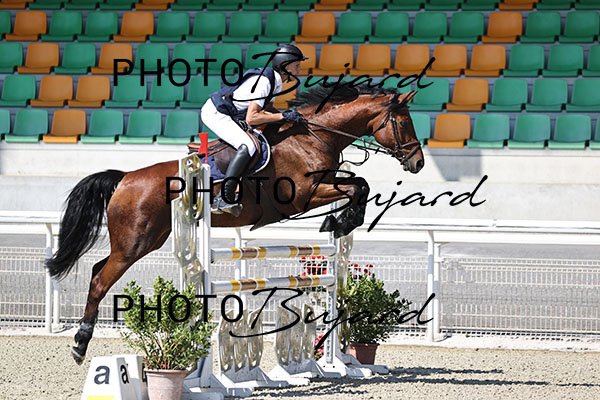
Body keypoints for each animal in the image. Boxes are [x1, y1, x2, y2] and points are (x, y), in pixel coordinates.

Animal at [45, 83, 425, 365]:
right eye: (404, 122)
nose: (418, 162)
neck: (313, 137)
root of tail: (125, 177)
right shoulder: (304, 195)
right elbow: (358, 187)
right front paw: (341, 219)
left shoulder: (326, 183)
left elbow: (360, 184)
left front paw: (340, 221)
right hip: (133, 243)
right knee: (99, 280)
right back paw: (79, 345)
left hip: (145, 240)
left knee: (97, 269)